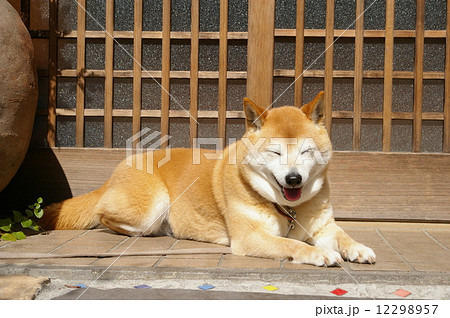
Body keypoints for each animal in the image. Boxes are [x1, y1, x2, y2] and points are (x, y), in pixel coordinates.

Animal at [41, 91, 376, 266]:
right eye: (276, 152)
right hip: (152, 205)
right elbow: (293, 244)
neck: (287, 210)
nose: (293, 179)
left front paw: (358, 248)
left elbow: (342, 236)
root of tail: (115, 171)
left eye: (306, 151)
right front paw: (319, 252)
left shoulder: (323, 226)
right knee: (105, 217)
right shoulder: (249, 237)